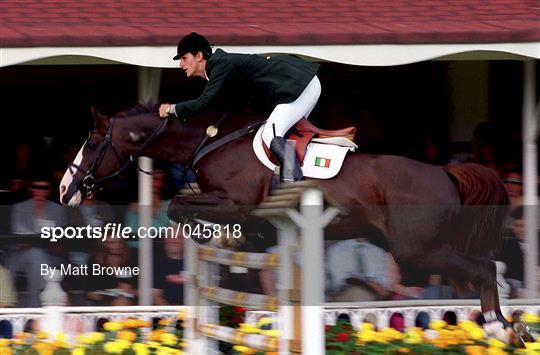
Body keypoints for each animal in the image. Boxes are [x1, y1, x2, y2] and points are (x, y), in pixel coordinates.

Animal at [59, 104, 528, 344]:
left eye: (93, 142)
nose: (65, 190)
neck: (208, 142)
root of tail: (446, 172)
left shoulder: (237, 204)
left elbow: (178, 205)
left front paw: (211, 233)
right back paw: (505, 325)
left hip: (416, 249)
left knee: (485, 267)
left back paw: (502, 328)